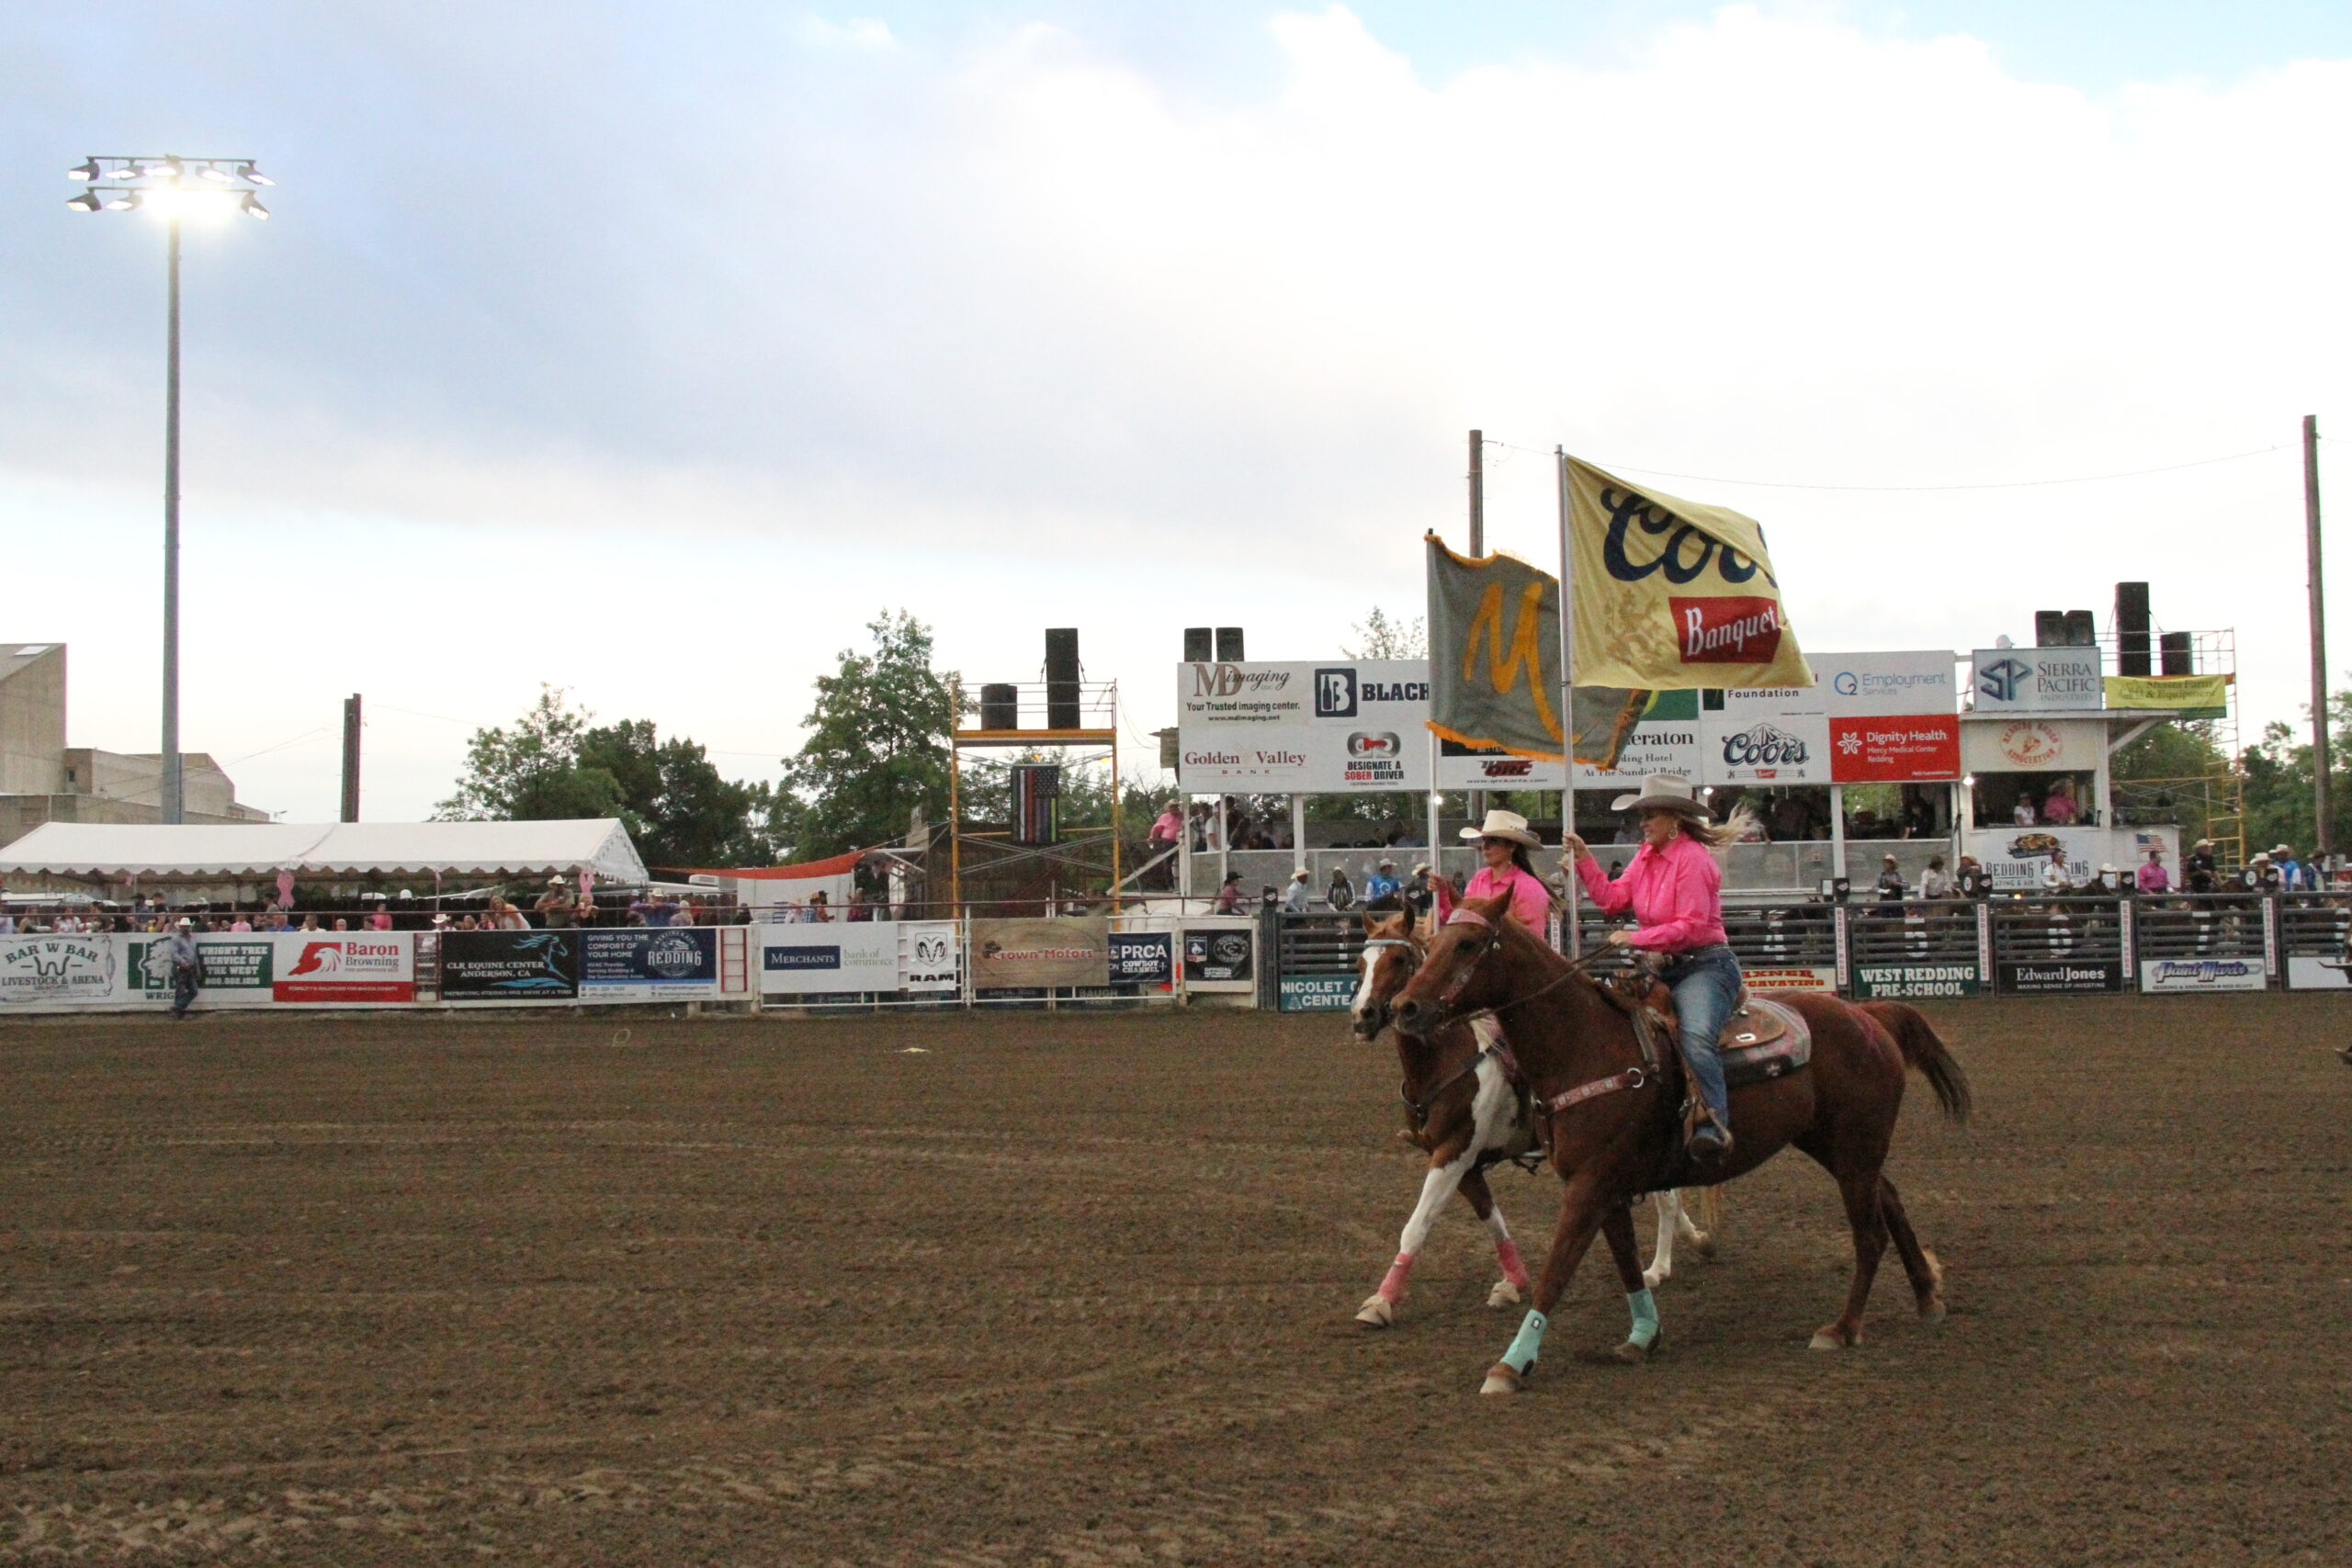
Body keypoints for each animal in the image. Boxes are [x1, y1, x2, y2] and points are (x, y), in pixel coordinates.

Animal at [1374, 893, 1966, 1401]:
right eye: (1433, 944)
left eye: (1467, 945)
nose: (1402, 1008)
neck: (1585, 1046)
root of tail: (1869, 1016)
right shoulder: (1600, 1185)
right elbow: (1626, 1264)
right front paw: (1643, 1334)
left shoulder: (1584, 1184)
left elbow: (1557, 1271)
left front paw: (1511, 1363)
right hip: (1841, 1148)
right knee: (1890, 1200)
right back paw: (1927, 1296)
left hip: (1853, 1151)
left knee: (1869, 1234)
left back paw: (1842, 1328)